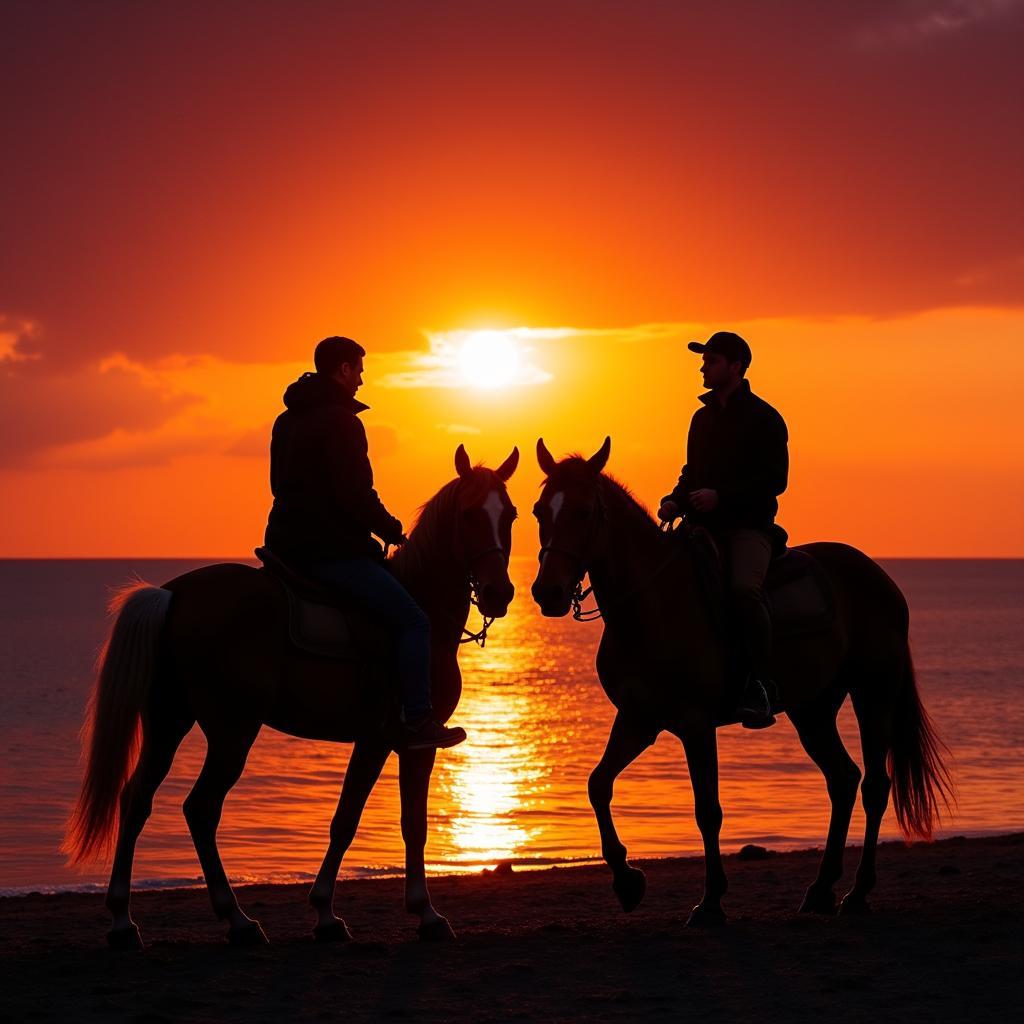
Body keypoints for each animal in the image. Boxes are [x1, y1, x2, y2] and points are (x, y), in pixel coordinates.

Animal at [64, 444, 516, 946]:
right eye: (470, 513)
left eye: (511, 515)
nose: (498, 593)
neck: (425, 611)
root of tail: (173, 595)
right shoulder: (402, 740)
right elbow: (380, 822)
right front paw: (415, 914)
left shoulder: (382, 743)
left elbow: (371, 822)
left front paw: (334, 914)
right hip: (232, 732)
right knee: (200, 808)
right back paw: (237, 920)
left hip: (168, 723)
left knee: (136, 800)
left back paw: (123, 920)